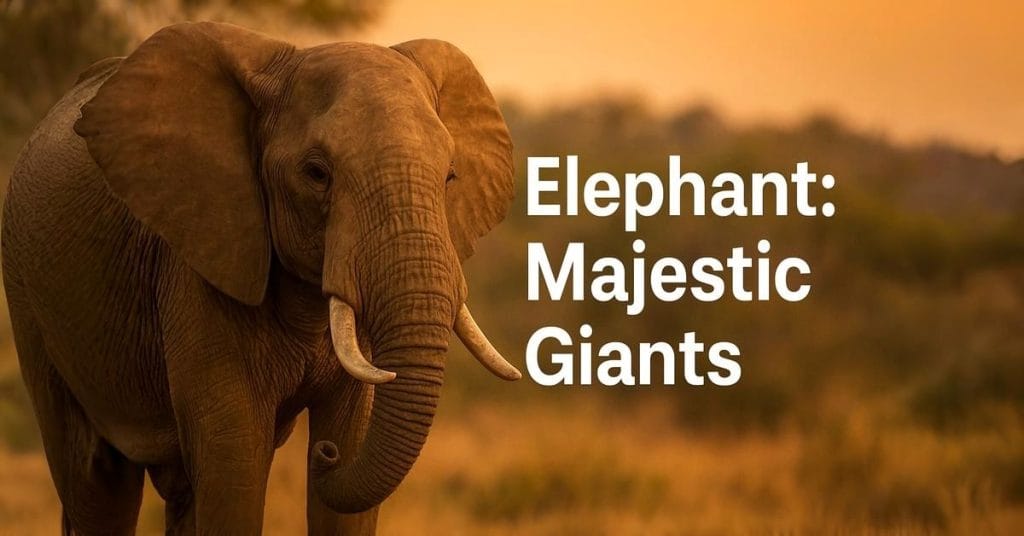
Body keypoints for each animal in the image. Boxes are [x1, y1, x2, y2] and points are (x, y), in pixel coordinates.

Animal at [1, 21, 521, 535]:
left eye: (450, 176)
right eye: (317, 174)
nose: (324, 455)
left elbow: (350, 445)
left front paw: (337, 445)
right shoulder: (201, 258)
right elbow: (235, 464)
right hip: (28, 298)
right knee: (95, 478)